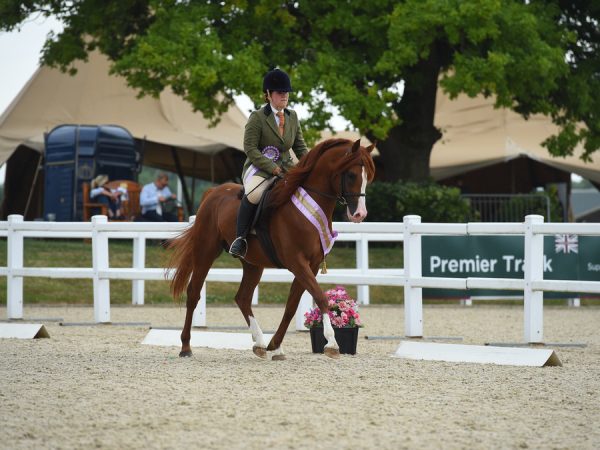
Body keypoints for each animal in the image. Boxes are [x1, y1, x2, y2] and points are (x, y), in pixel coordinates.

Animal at [169, 137, 372, 358]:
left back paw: (259, 342)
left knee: (243, 298)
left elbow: (291, 306)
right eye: (351, 175)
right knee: (194, 293)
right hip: (206, 250)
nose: (359, 214)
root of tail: (214, 192)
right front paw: (332, 344)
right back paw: (186, 347)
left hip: (253, 263)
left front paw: (275, 345)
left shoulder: (311, 265)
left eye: (367, 177)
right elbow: (320, 297)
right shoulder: (297, 262)